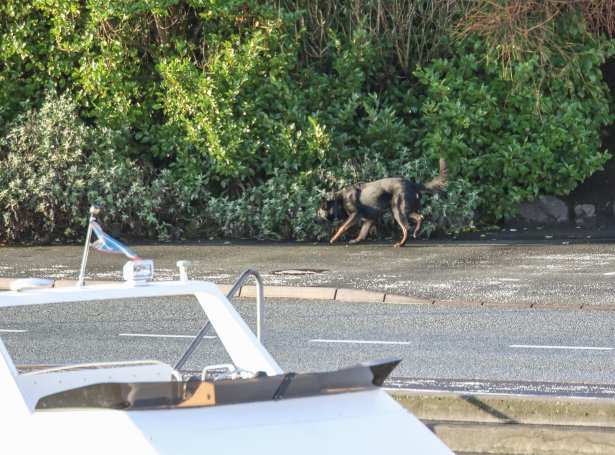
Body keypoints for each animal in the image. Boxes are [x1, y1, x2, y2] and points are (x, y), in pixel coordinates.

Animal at [318, 159, 448, 248]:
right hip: (404, 209)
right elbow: (362, 233)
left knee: (406, 229)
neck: (340, 199)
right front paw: (356, 240)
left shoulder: (355, 215)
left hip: (397, 211)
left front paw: (333, 239)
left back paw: (401, 244)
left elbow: (342, 227)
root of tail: (412, 184)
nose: (315, 220)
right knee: (420, 217)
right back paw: (416, 232)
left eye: (318, 214)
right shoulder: (369, 219)